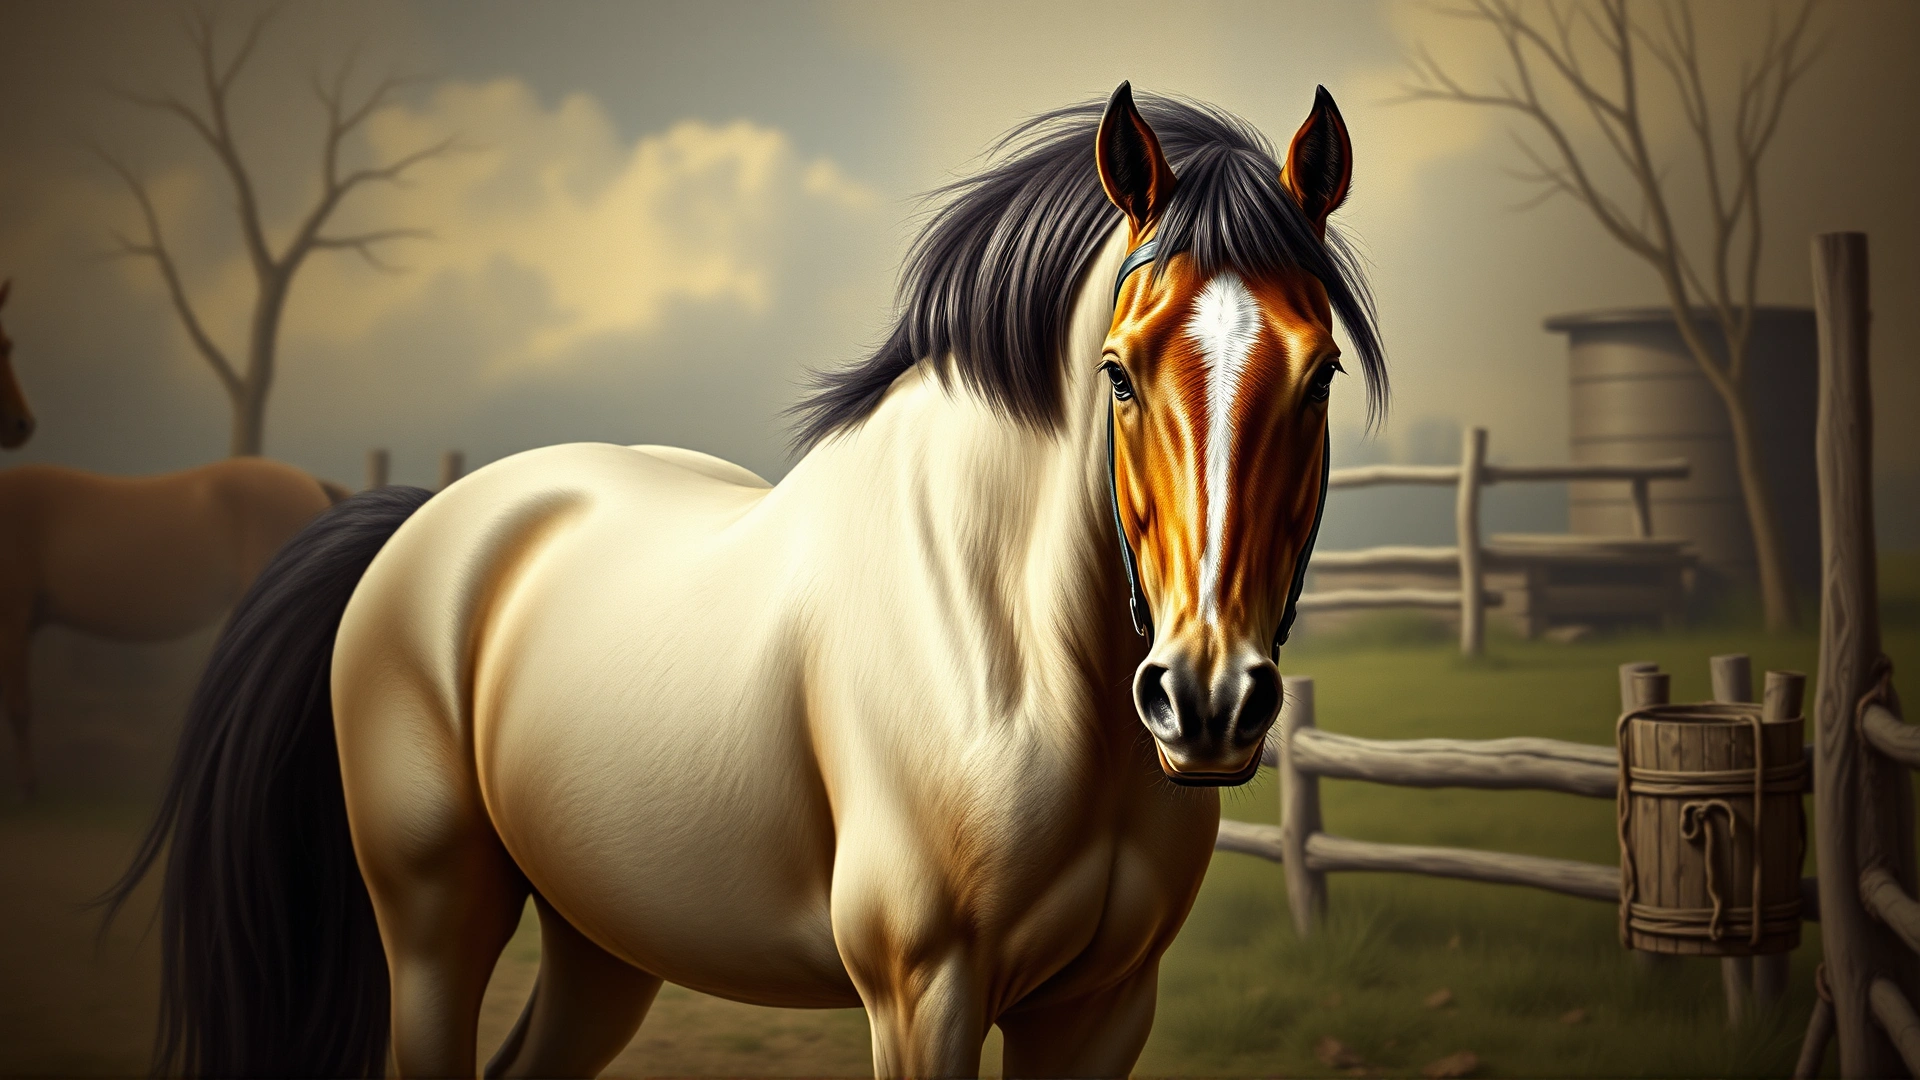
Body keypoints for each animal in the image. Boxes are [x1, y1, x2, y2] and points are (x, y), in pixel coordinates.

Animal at [108, 83, 1385, 1077]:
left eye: (1319, 374)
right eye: (1117, 372)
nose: (1208, 700)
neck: (1014, 656)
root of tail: (424, 523)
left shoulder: (1102, 1008)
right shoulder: (923, 994)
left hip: (602, 940)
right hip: (433, 919)